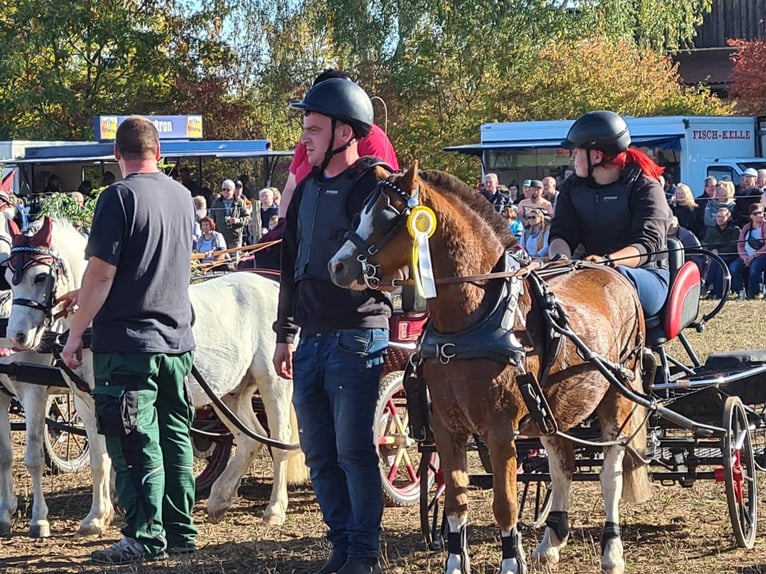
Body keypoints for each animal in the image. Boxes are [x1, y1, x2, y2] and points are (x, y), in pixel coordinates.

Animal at [328, 165, 652, 574]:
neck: (474, 319)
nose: (337, 266)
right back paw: (551, 540)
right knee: (563, 464)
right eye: (359, 213)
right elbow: (456, 500)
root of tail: (612, 272)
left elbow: (505, 504)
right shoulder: (447, 427)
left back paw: (611, 549)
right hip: (552, 409)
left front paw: (511, 562)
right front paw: (455, 562)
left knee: (610, 473)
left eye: (388, 216)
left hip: (617, 400)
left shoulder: (500, 429)